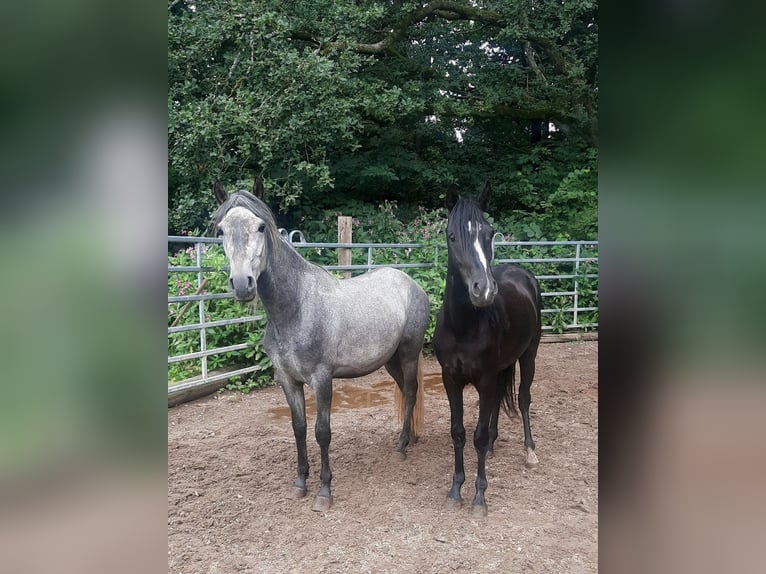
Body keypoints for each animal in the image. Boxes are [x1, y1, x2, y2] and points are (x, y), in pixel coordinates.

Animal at [211, 178, 430, 512]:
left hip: (408, 354)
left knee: (412, 391)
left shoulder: (322, 379)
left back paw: (402, 447)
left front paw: (324, 491)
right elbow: (299, 428)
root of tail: (412, 284)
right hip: (390, 360)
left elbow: (322, 432)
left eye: (260, 227)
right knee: (406, 392)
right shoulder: (288, 380)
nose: (242, 284)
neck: (296, 308)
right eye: (221, 230)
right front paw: (300, 483)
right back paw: (410, 438)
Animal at [433, 182, 542, 517]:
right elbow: (458, 432)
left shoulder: (484, 378)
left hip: (529, 355)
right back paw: (495, 445)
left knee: (523, 398)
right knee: (496, 405)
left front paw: (480, 497)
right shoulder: (451, 380)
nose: (485, 290)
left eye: (489, 232)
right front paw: (455, 490)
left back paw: (529, 451)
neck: (463, 327)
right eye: (451, 235)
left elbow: (477, 436)